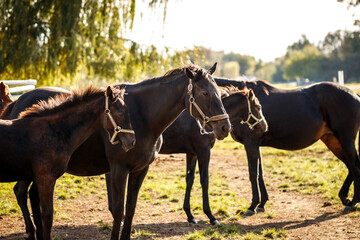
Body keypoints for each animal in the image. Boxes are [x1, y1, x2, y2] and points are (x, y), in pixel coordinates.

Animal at [214, 78, 360, 216]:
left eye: (259, 107)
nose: (265, 126)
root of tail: (355, 96)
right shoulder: (256, 145)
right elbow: (260, 173)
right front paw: (262, 204)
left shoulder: (250, 143)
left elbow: (253, 173)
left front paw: (252, 206)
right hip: (333, 141)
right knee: (351, 167)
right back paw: (345, 197)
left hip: (345, 140)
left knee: (354, 167)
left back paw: (352, 202)